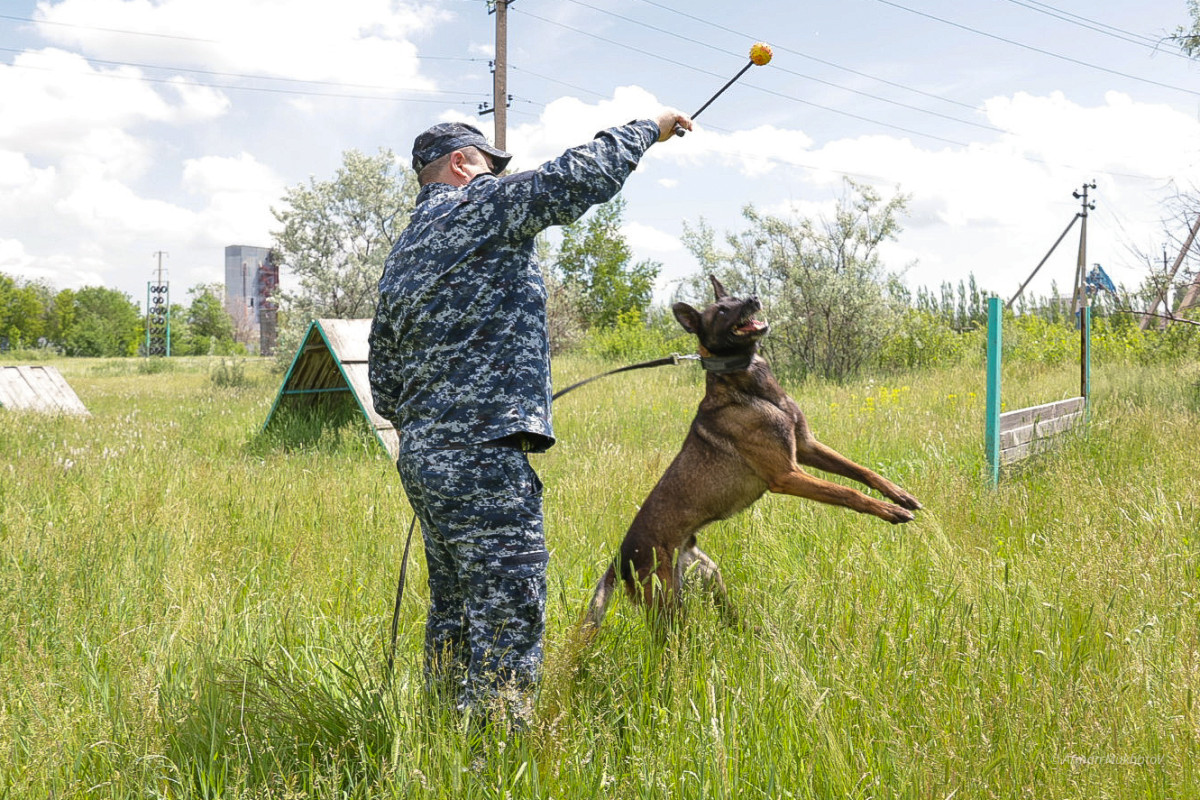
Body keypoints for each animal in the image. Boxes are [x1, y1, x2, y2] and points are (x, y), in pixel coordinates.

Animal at [585, 275, 921, 633]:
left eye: (735, 297)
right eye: (721, 310)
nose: (753, 298)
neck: (749, 384)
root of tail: (619, 557)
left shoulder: (806, 446)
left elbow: (860, 471)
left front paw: (899, 495)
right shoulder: (786, 474)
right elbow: (847, 491)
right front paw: (890, 511)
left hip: (707, 575)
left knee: (730, 618)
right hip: (666, 603)